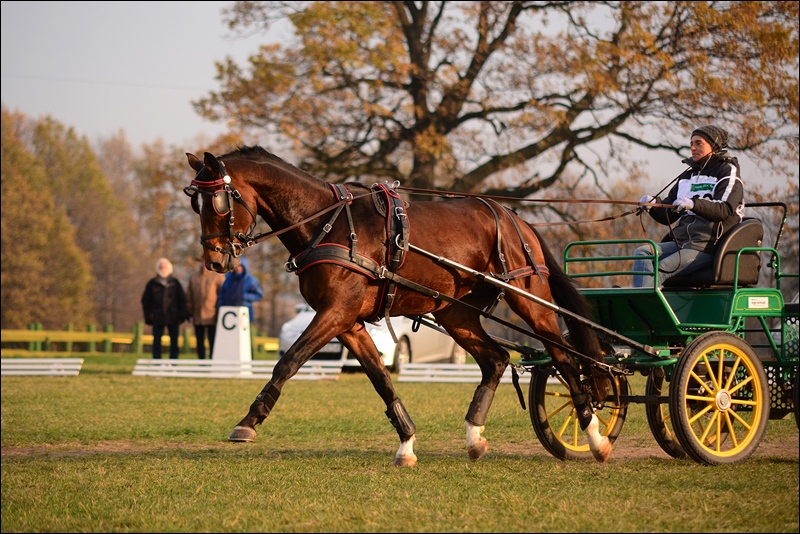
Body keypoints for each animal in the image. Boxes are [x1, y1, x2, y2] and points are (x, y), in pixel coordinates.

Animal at [186, 148, 612, 468]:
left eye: (219, 202)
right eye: (196, 203)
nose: (214, 261)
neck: (327, 223)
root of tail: (515, 219)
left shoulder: (335, 313)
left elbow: (287, 362)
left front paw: (249, 421)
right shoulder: (349, 323)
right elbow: (381, 379)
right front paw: (406, 443)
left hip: (529, 300)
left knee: (565, 359)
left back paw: (593, 434)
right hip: (455, 313)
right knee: (496, 359)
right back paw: (474, 437)